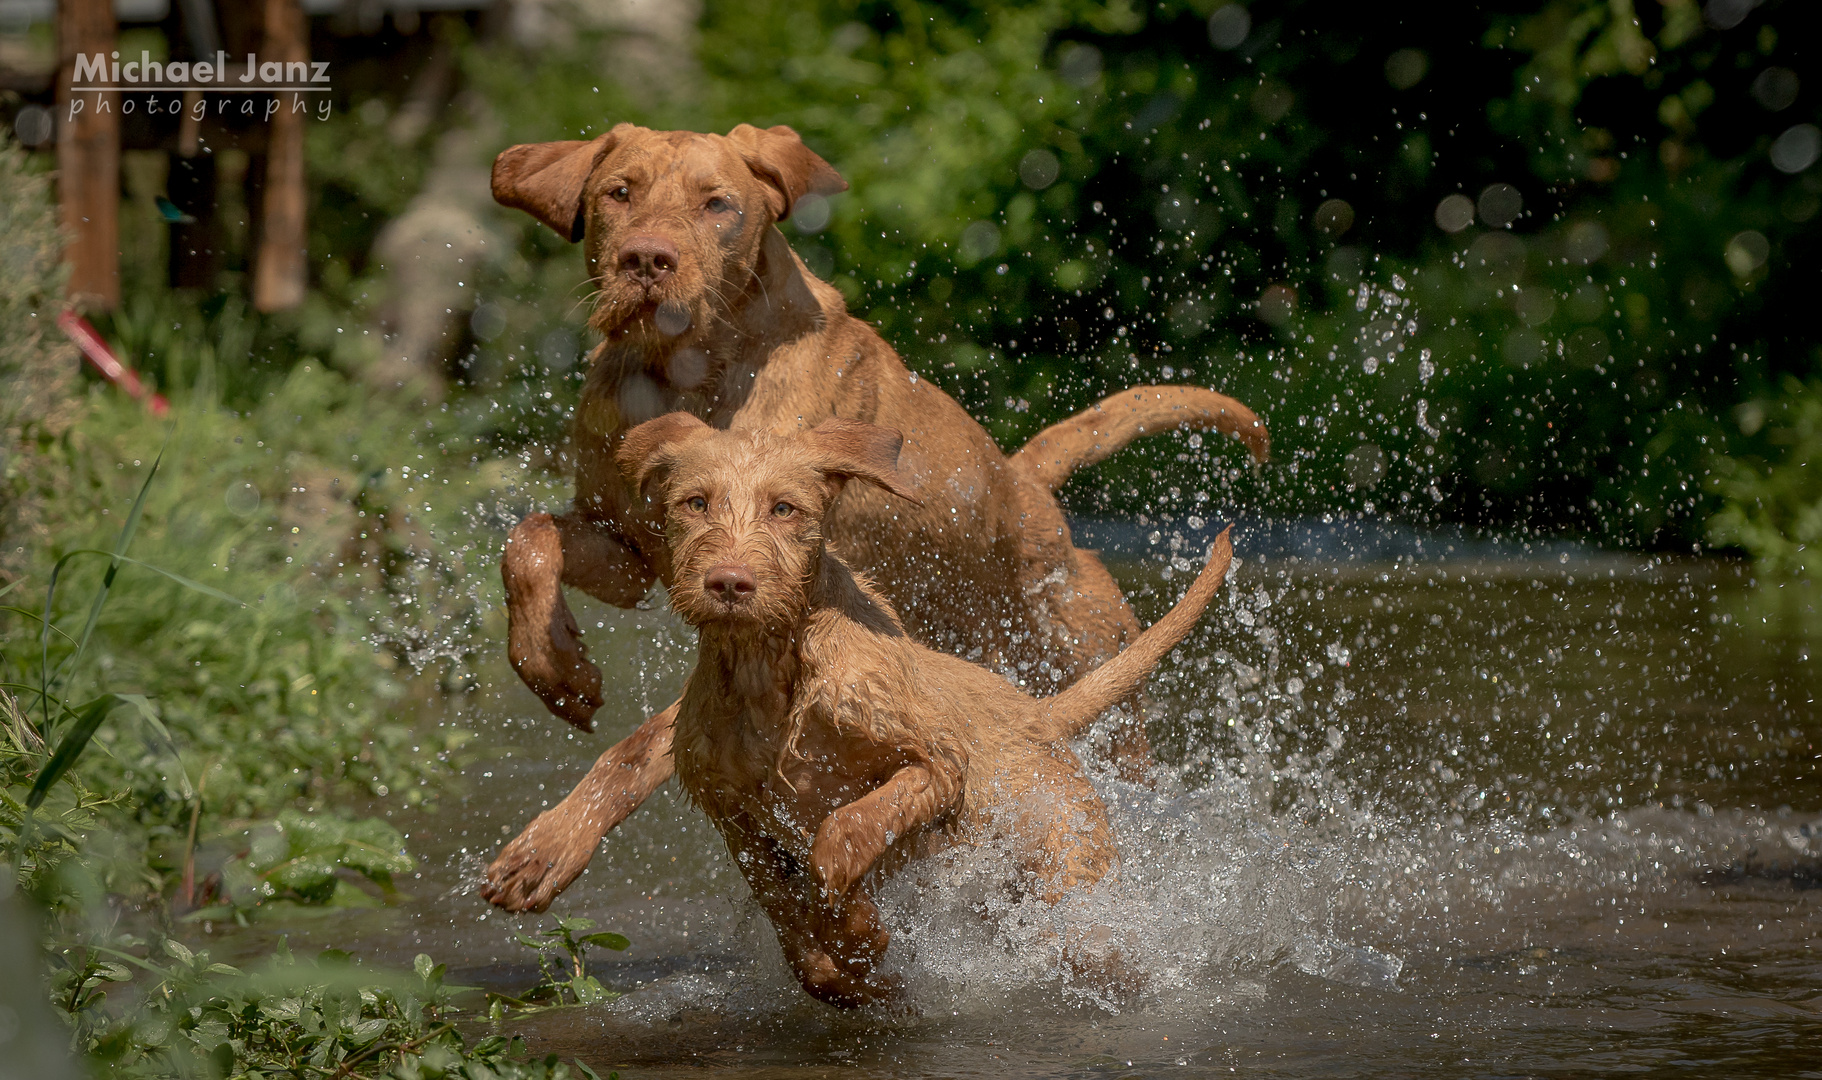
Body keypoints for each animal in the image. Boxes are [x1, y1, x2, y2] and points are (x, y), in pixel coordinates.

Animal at [484, 122, 1268, 914]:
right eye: (620, 193)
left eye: (717, 204)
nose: (646, 259)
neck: (687, 374)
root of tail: (1026, 484)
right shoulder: (630, 553)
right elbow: (528, 540)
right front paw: (556, 665)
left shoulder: (789, 610)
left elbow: (642, 743)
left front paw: (552, 843)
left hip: (1091, 680)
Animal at [619, 409, 1231, 1005]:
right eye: (695, 503)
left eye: (784, 508)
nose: (729, 583)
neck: (765, 675)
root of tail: (1041, 713)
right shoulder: (736, 820)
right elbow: (798, 935)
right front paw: (853, 961)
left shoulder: (936, 761)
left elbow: (843, 832)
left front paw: (856, 925)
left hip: (1063, 855)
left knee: (1091, 936)